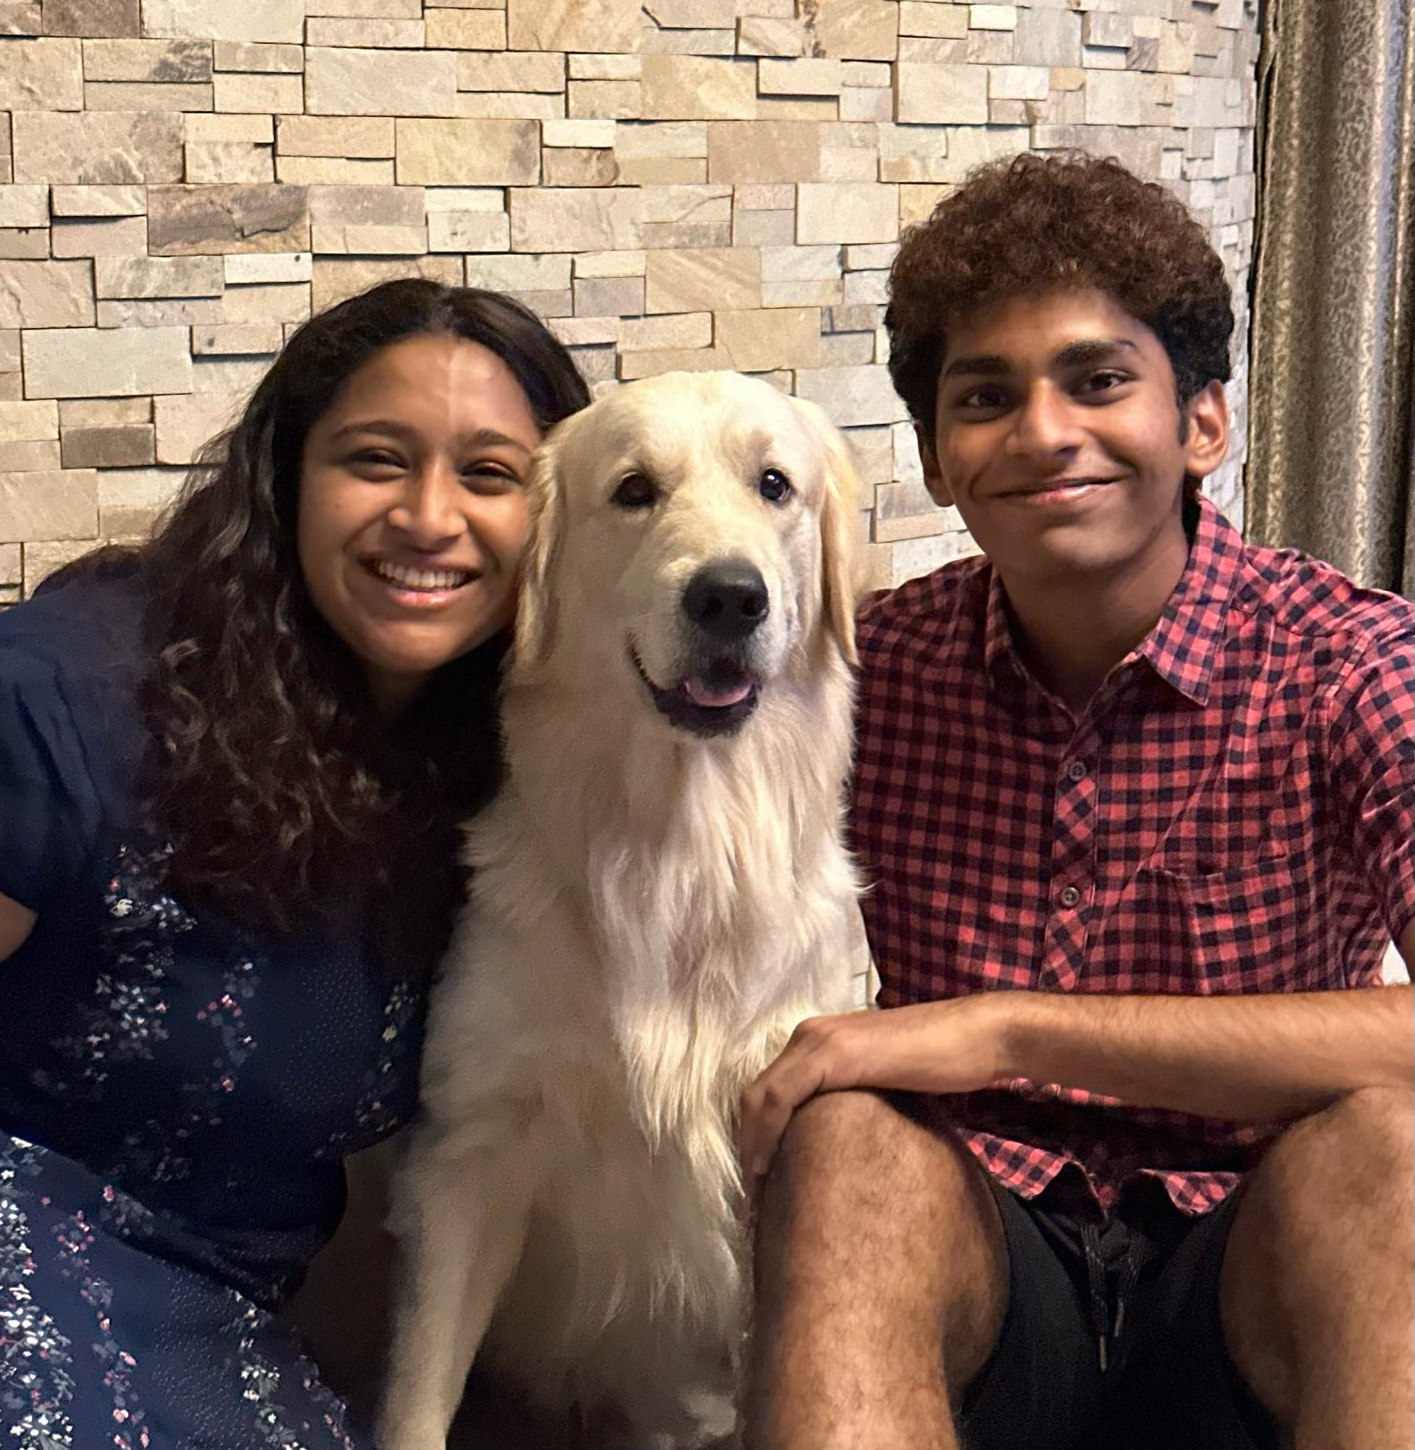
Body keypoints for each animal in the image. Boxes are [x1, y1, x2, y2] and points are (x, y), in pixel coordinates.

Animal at [376, 368, 864, 1444]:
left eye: (775, 484)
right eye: (634, 490)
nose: (729, 597)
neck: (678, 849)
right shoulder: (470, 1155)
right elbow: (419, 1389)